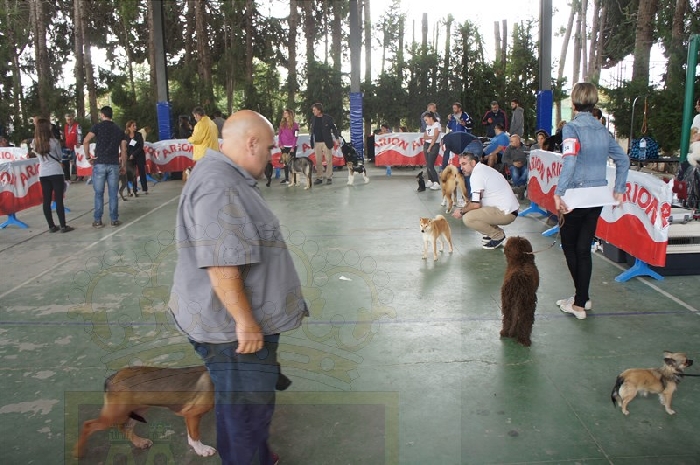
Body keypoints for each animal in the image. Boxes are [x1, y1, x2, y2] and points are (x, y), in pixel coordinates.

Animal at [73, 366, 292, 458]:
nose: (289, 383)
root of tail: (112, 377)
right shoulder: (192, 414)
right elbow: (194, 435)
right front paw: (202, 450)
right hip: (115, 412)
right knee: (88, 425)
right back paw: (78, 452)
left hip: (138, 407)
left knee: (125, 427)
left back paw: (139, 442)